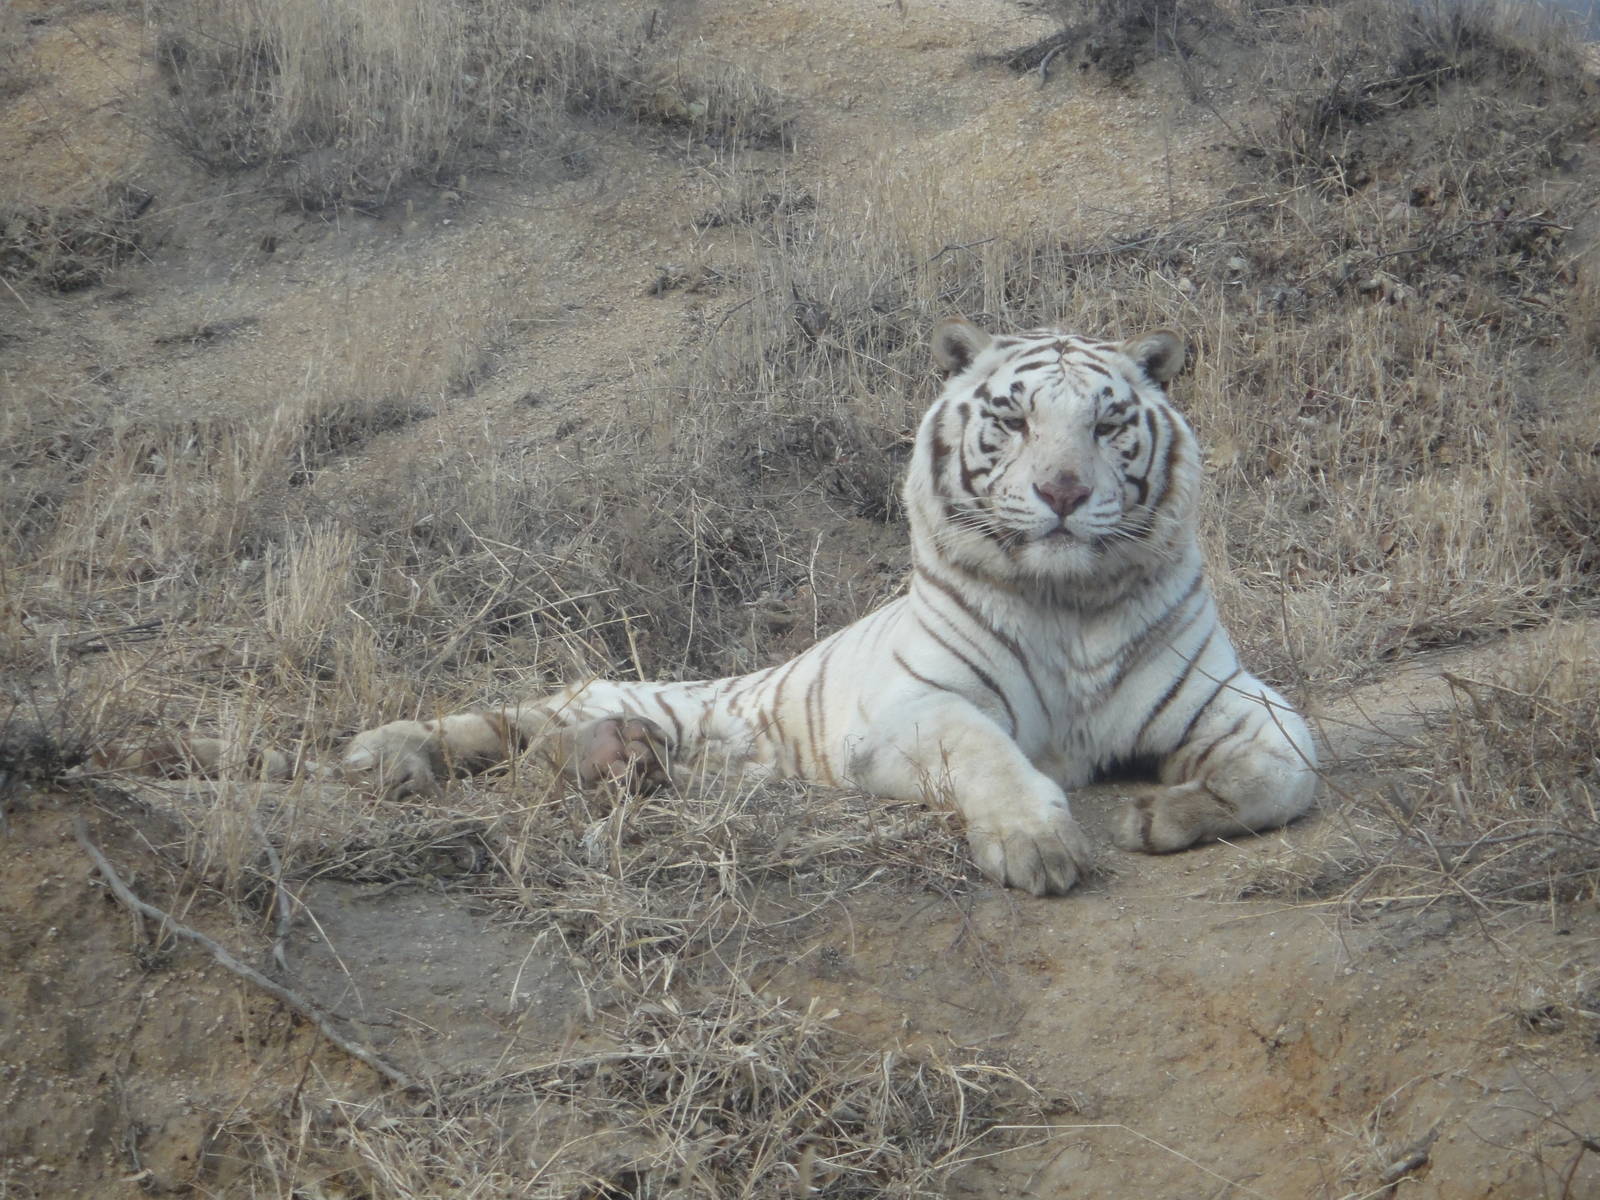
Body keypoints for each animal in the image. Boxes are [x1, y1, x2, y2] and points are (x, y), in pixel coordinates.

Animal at [333, 318, 1319, 896]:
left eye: (1110, 424)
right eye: (1013, 419)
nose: (1065, 492)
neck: (1068, 601)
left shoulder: (1220, 690)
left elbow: (1292, 758)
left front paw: (1168, 814)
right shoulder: (914, 707)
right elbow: (987, 750)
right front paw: (1036, 847)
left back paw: (619, 764)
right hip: (604, 692)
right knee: (502, 725)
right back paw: (388, 755)